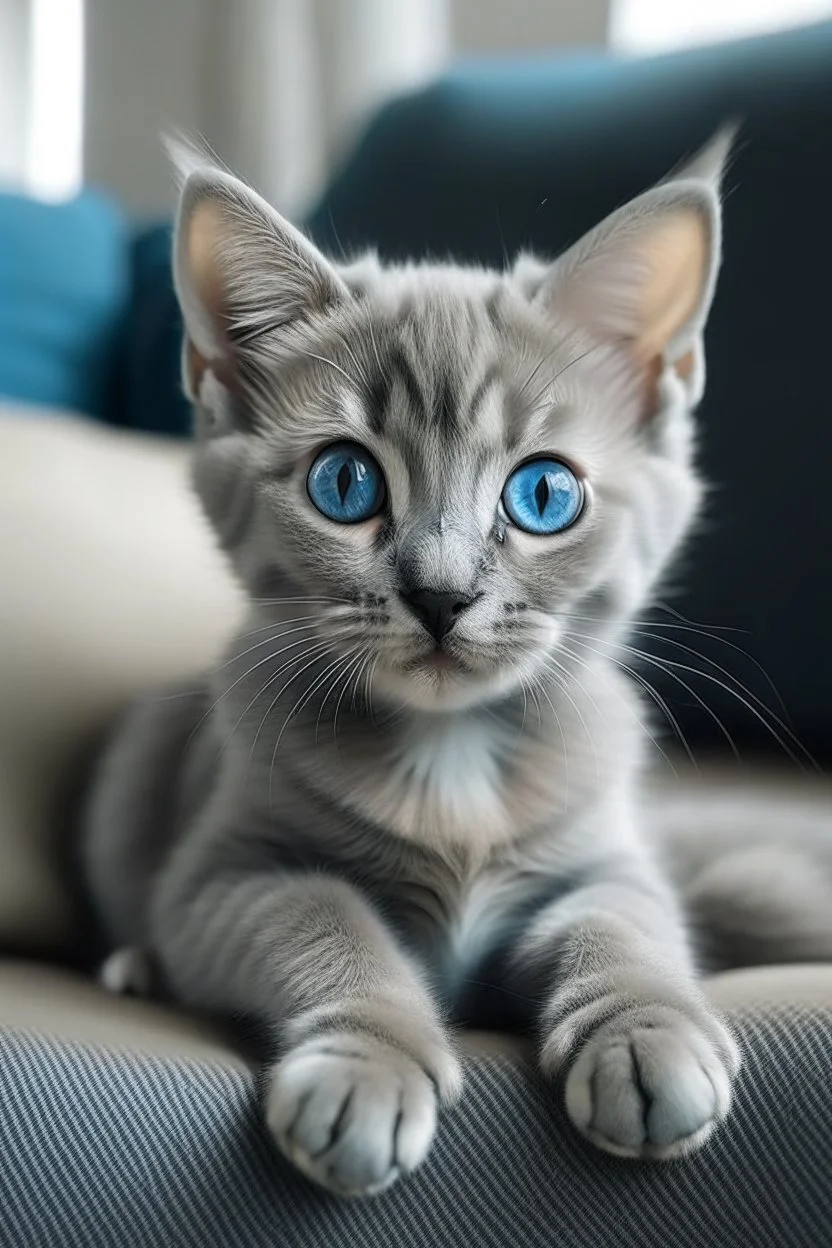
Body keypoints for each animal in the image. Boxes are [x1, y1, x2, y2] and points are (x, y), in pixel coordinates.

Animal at [82, 131, 748, 1193]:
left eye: (545, 493)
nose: (441, 594)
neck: (453, 754)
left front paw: (649, 1031)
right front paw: (369, 1062)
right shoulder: (221, 876)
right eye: (345, 483)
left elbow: (622, 920)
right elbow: (326, 922)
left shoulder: (601, 856)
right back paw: (136, 967)